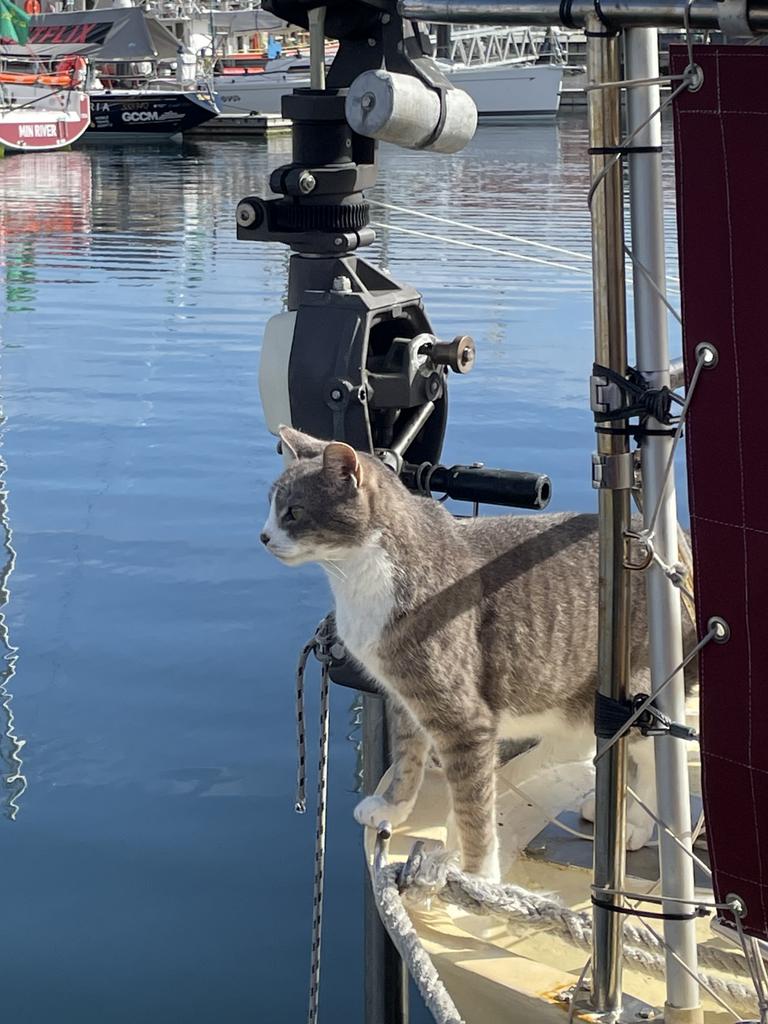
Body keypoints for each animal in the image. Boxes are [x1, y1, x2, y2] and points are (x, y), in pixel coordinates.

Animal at [262, 423, 696, 880]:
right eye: (271, 506)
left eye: (293, 512)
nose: (264, 536)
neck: (365, 572)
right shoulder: (404, 696)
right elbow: (407, 757)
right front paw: (393, 807)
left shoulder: (464, 720)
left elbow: (474, 810)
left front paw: (477, 876)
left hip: (641, 691)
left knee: (657, 759)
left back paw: (636, 825)